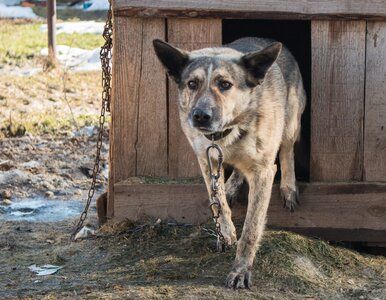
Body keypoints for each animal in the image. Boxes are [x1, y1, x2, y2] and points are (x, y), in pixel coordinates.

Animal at [152, 37, 306, 288]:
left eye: (225, 84)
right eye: (192, 83)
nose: (200, 116)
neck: (224, 133)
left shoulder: (263, 172)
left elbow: (252, 228)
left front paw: (241, 270)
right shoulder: (206, 161)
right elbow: (219, 202)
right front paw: (226, 233)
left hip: (291, 121)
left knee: (287, 150)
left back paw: (288, 187)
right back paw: (233, 185)